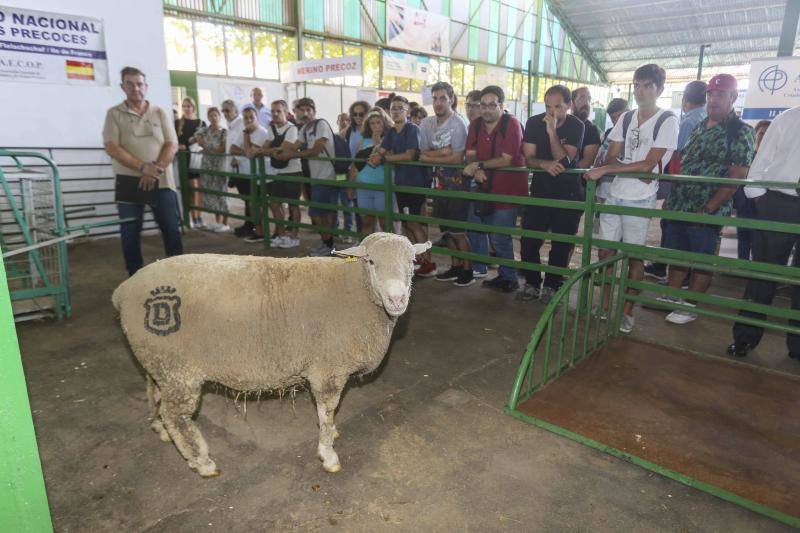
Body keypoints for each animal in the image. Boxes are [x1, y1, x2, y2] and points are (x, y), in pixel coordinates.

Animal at [112, 232, 432, 474]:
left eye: (413, 261)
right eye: (372, 261)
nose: (397, 299)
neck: (355, 287)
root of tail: (124, 291)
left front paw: (332, 435)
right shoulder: (327, 370)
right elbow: (327, 411)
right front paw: (328, 453)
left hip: (159, 362)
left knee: (153, 390)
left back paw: (159, 428)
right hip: (178, 370)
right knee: (176, 414)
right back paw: (202, 461)